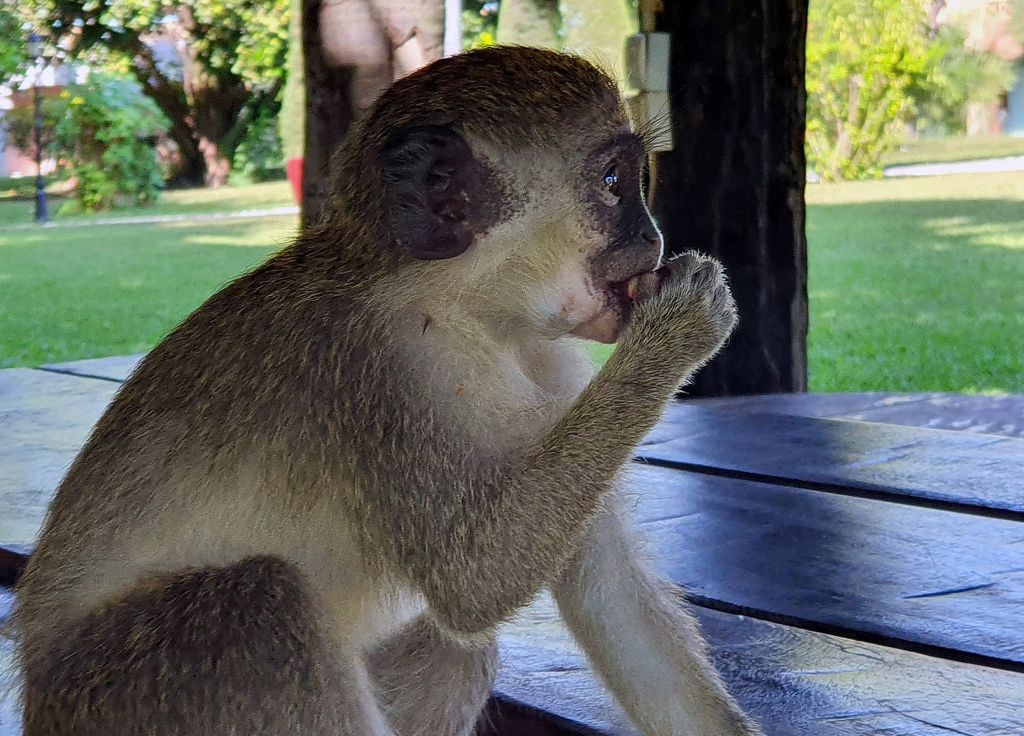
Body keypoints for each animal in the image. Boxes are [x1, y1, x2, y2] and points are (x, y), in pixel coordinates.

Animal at [8, 47, 761, 736]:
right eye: (613, 181)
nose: (652, 237)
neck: (465, 306)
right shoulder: (384, 366)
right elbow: (474, 576)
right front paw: (680, 328)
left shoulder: (549, 359)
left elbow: (608, 592)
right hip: (125, 694)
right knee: (261, 605)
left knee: (450, 652)